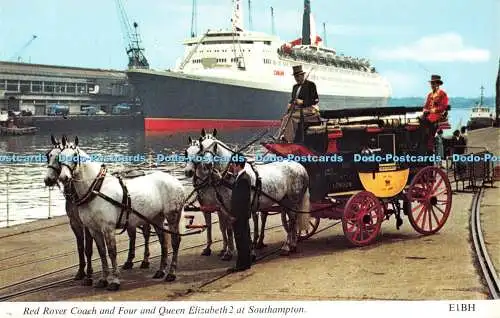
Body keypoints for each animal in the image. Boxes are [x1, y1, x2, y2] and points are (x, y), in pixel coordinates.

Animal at [43, 134, 152, 286]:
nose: (48, 179)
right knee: (132, 235)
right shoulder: (75, 223)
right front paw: (80, 272)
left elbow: (88, 249)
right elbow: (80, 247)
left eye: (58, 157)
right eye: (48, 155)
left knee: (146, 233)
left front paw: (89, 275)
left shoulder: (88, 226)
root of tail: (139, 171)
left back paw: (145, 260)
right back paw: (129, 261)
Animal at [56, 135, 186, 290]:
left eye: (75, 156)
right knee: (163, 240)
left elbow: (112, 252)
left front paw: (115, 281)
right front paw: (103, 279)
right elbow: (102, 252)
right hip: (156, 218)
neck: (96, 189)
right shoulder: (94, 229)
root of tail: (175, 181)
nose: (63, 177)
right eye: (59, 157)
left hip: (172, 216)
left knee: (175, 241)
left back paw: (171, 273)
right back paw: (161, 270)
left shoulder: (108, 228)